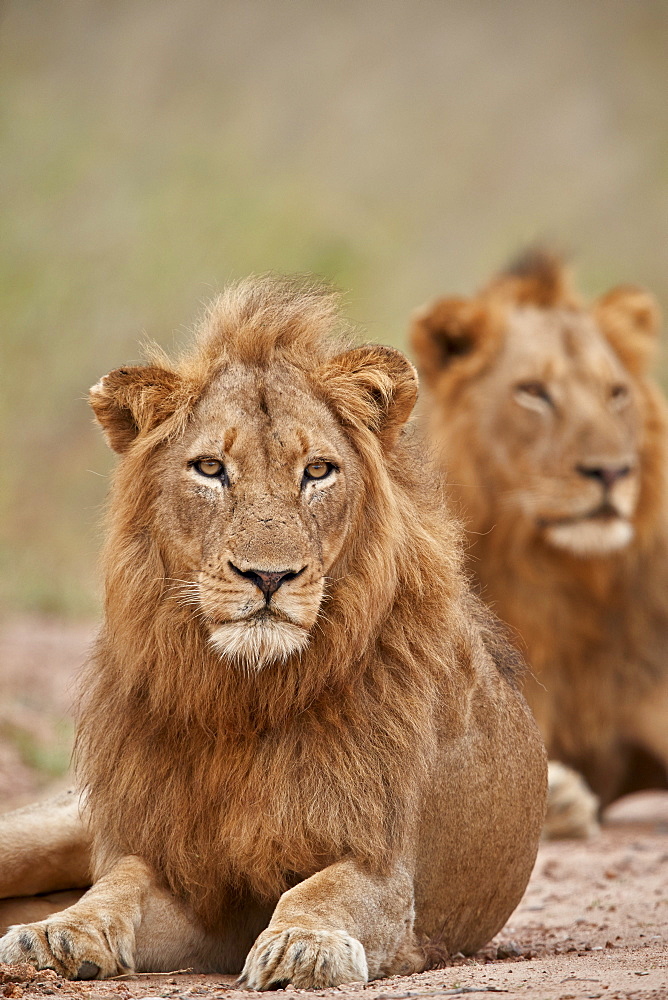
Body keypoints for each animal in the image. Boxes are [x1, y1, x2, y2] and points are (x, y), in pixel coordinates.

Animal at [0, 278, 548, 988]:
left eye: (317, 471)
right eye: (209, 468)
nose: (268, 575)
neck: (247, 698)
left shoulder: (386, 871)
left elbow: (322, 889)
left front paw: (303, 944)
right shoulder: (192, 880)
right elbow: (120, 881)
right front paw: (56, 932)